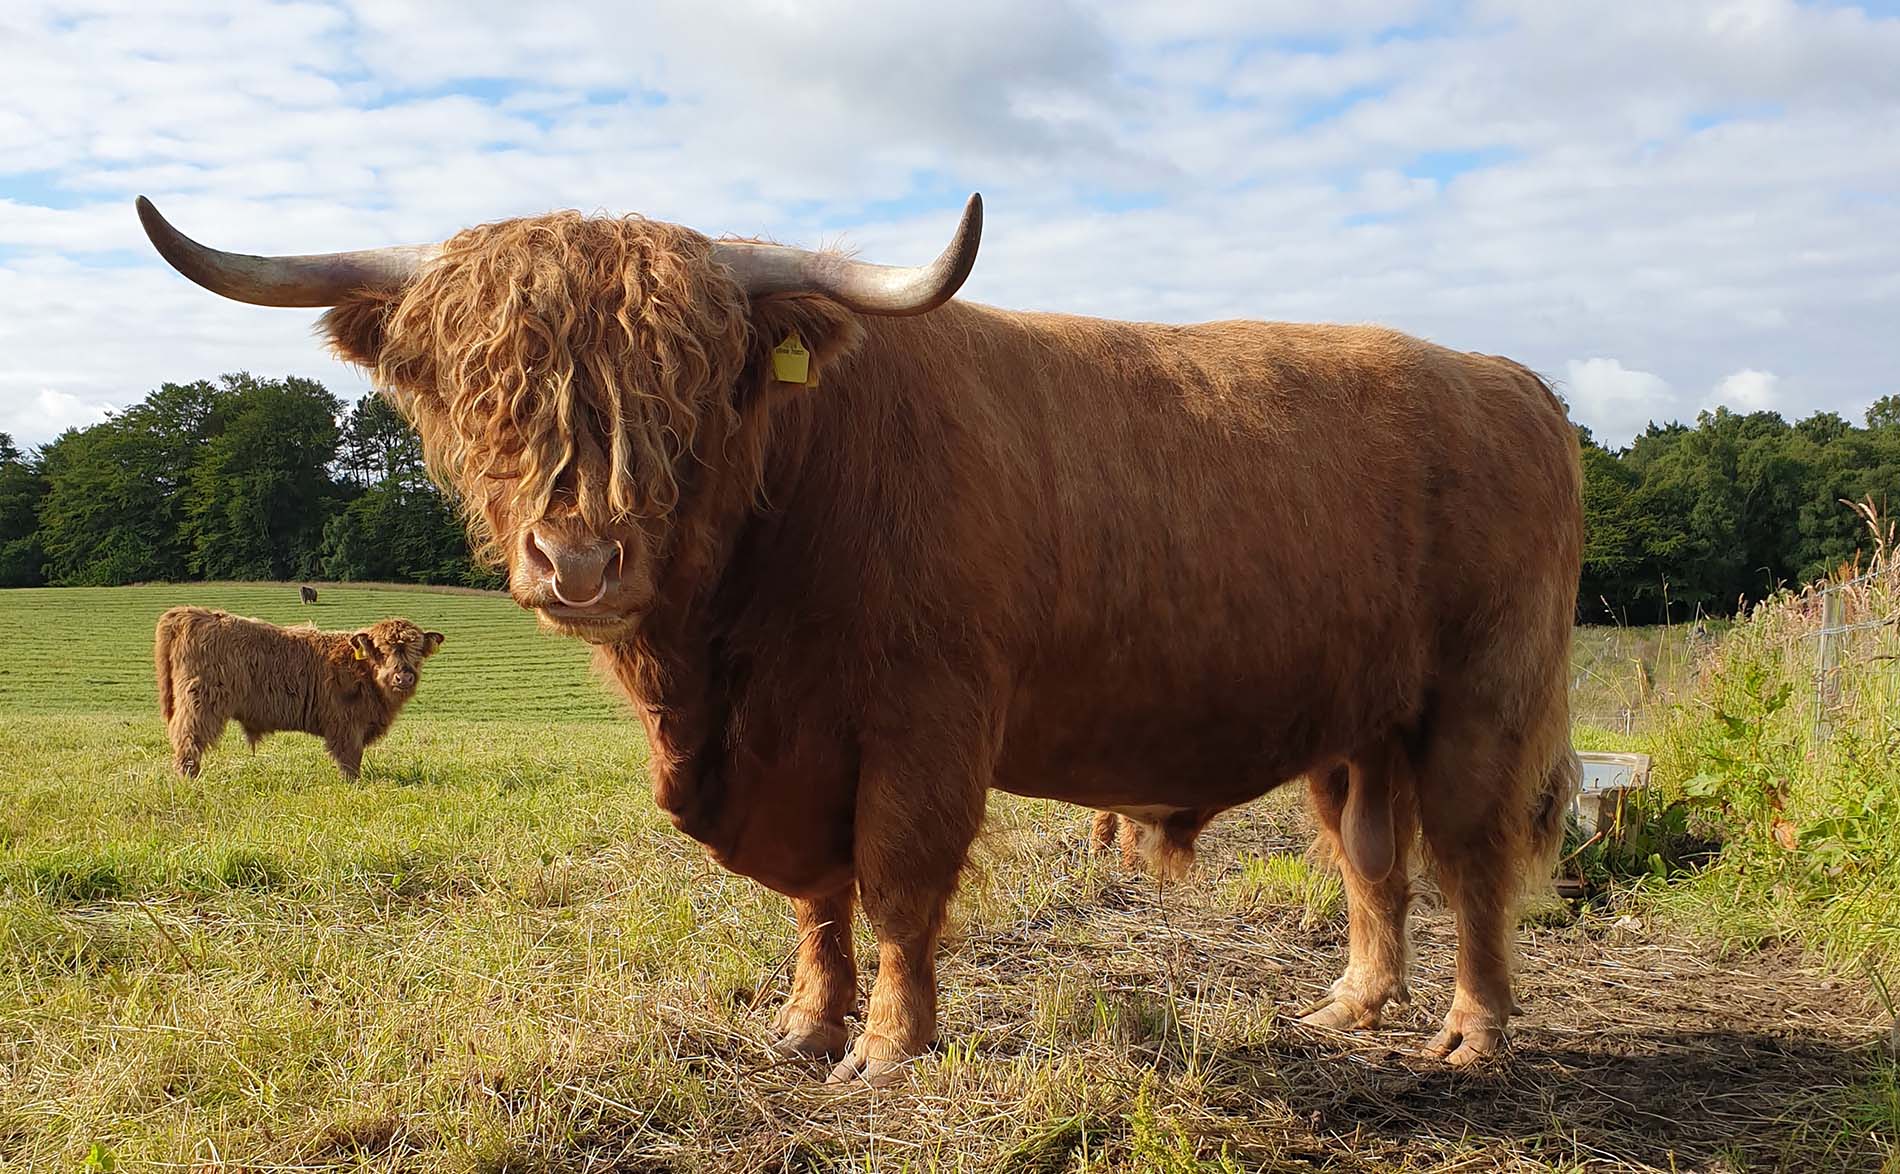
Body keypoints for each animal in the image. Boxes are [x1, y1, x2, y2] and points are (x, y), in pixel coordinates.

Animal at [155, 604, 444, 778]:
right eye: (382, 651)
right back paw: (188, 779)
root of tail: (192, 612)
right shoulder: (346, 725)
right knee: (187, 739)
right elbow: (350, 759)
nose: (404, 676)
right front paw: (354, 784)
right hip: (200, 703)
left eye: (417, 651)